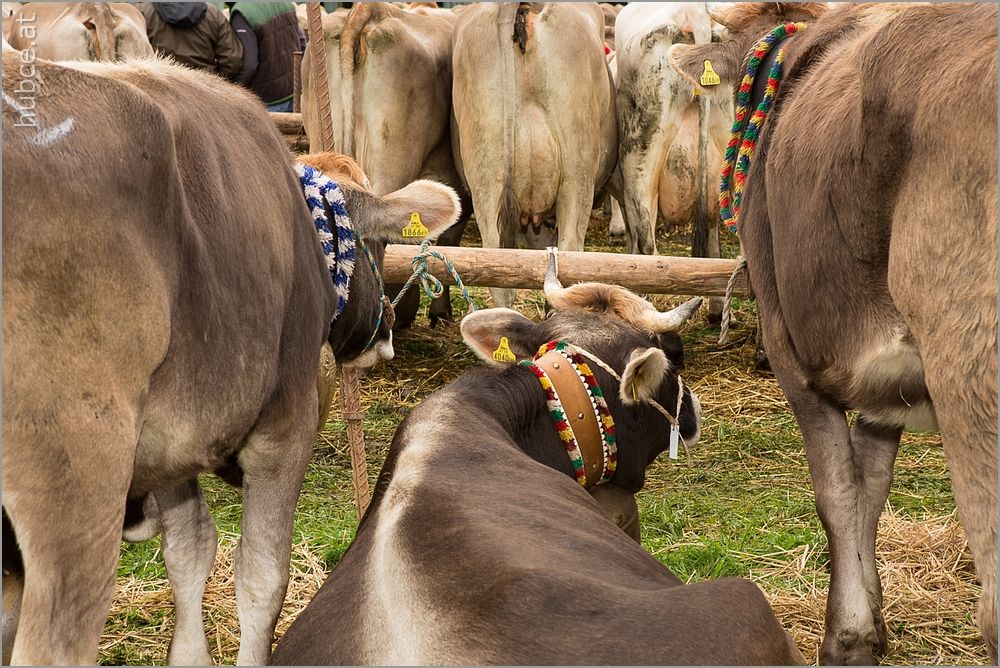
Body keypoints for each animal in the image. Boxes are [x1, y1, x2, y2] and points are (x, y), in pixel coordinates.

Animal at [2, 53, 460, 664]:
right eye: (381, 244)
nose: (385, 331)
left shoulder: (169, 443)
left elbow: (190, 548)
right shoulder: (283, 429)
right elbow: (262, 575)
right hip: (77, 484)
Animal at [669, 2, 998, 664]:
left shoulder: (789, 350)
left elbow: (837, 494)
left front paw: (846, 637)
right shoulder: (889, 382)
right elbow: (872, 488)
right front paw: (873, 619)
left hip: (970, 373)